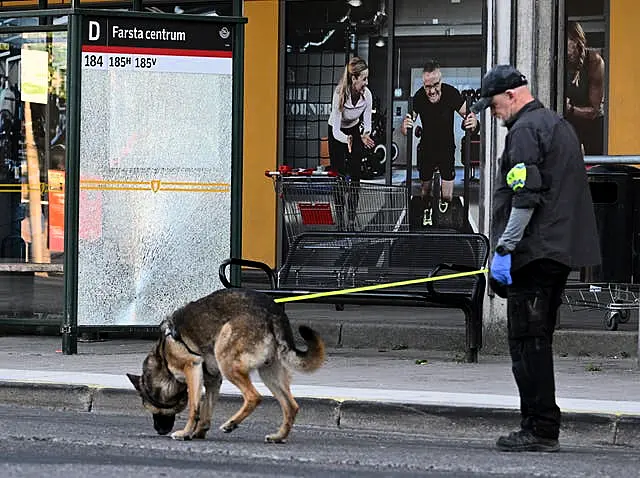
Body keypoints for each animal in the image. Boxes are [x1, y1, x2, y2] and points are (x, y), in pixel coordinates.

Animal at [126, 286, 324, 442]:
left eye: (154, 410)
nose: (159, 431)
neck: (164, 359)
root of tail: (273, 312)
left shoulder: (192, 368)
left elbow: (194, 407)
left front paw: (185, 433)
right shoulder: (213, 380)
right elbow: (206, 407)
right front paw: (199, 432)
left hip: (228, 362)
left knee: (254, 396)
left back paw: (231, 423)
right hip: (268, 373)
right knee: (291, 406)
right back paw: (279, 436)